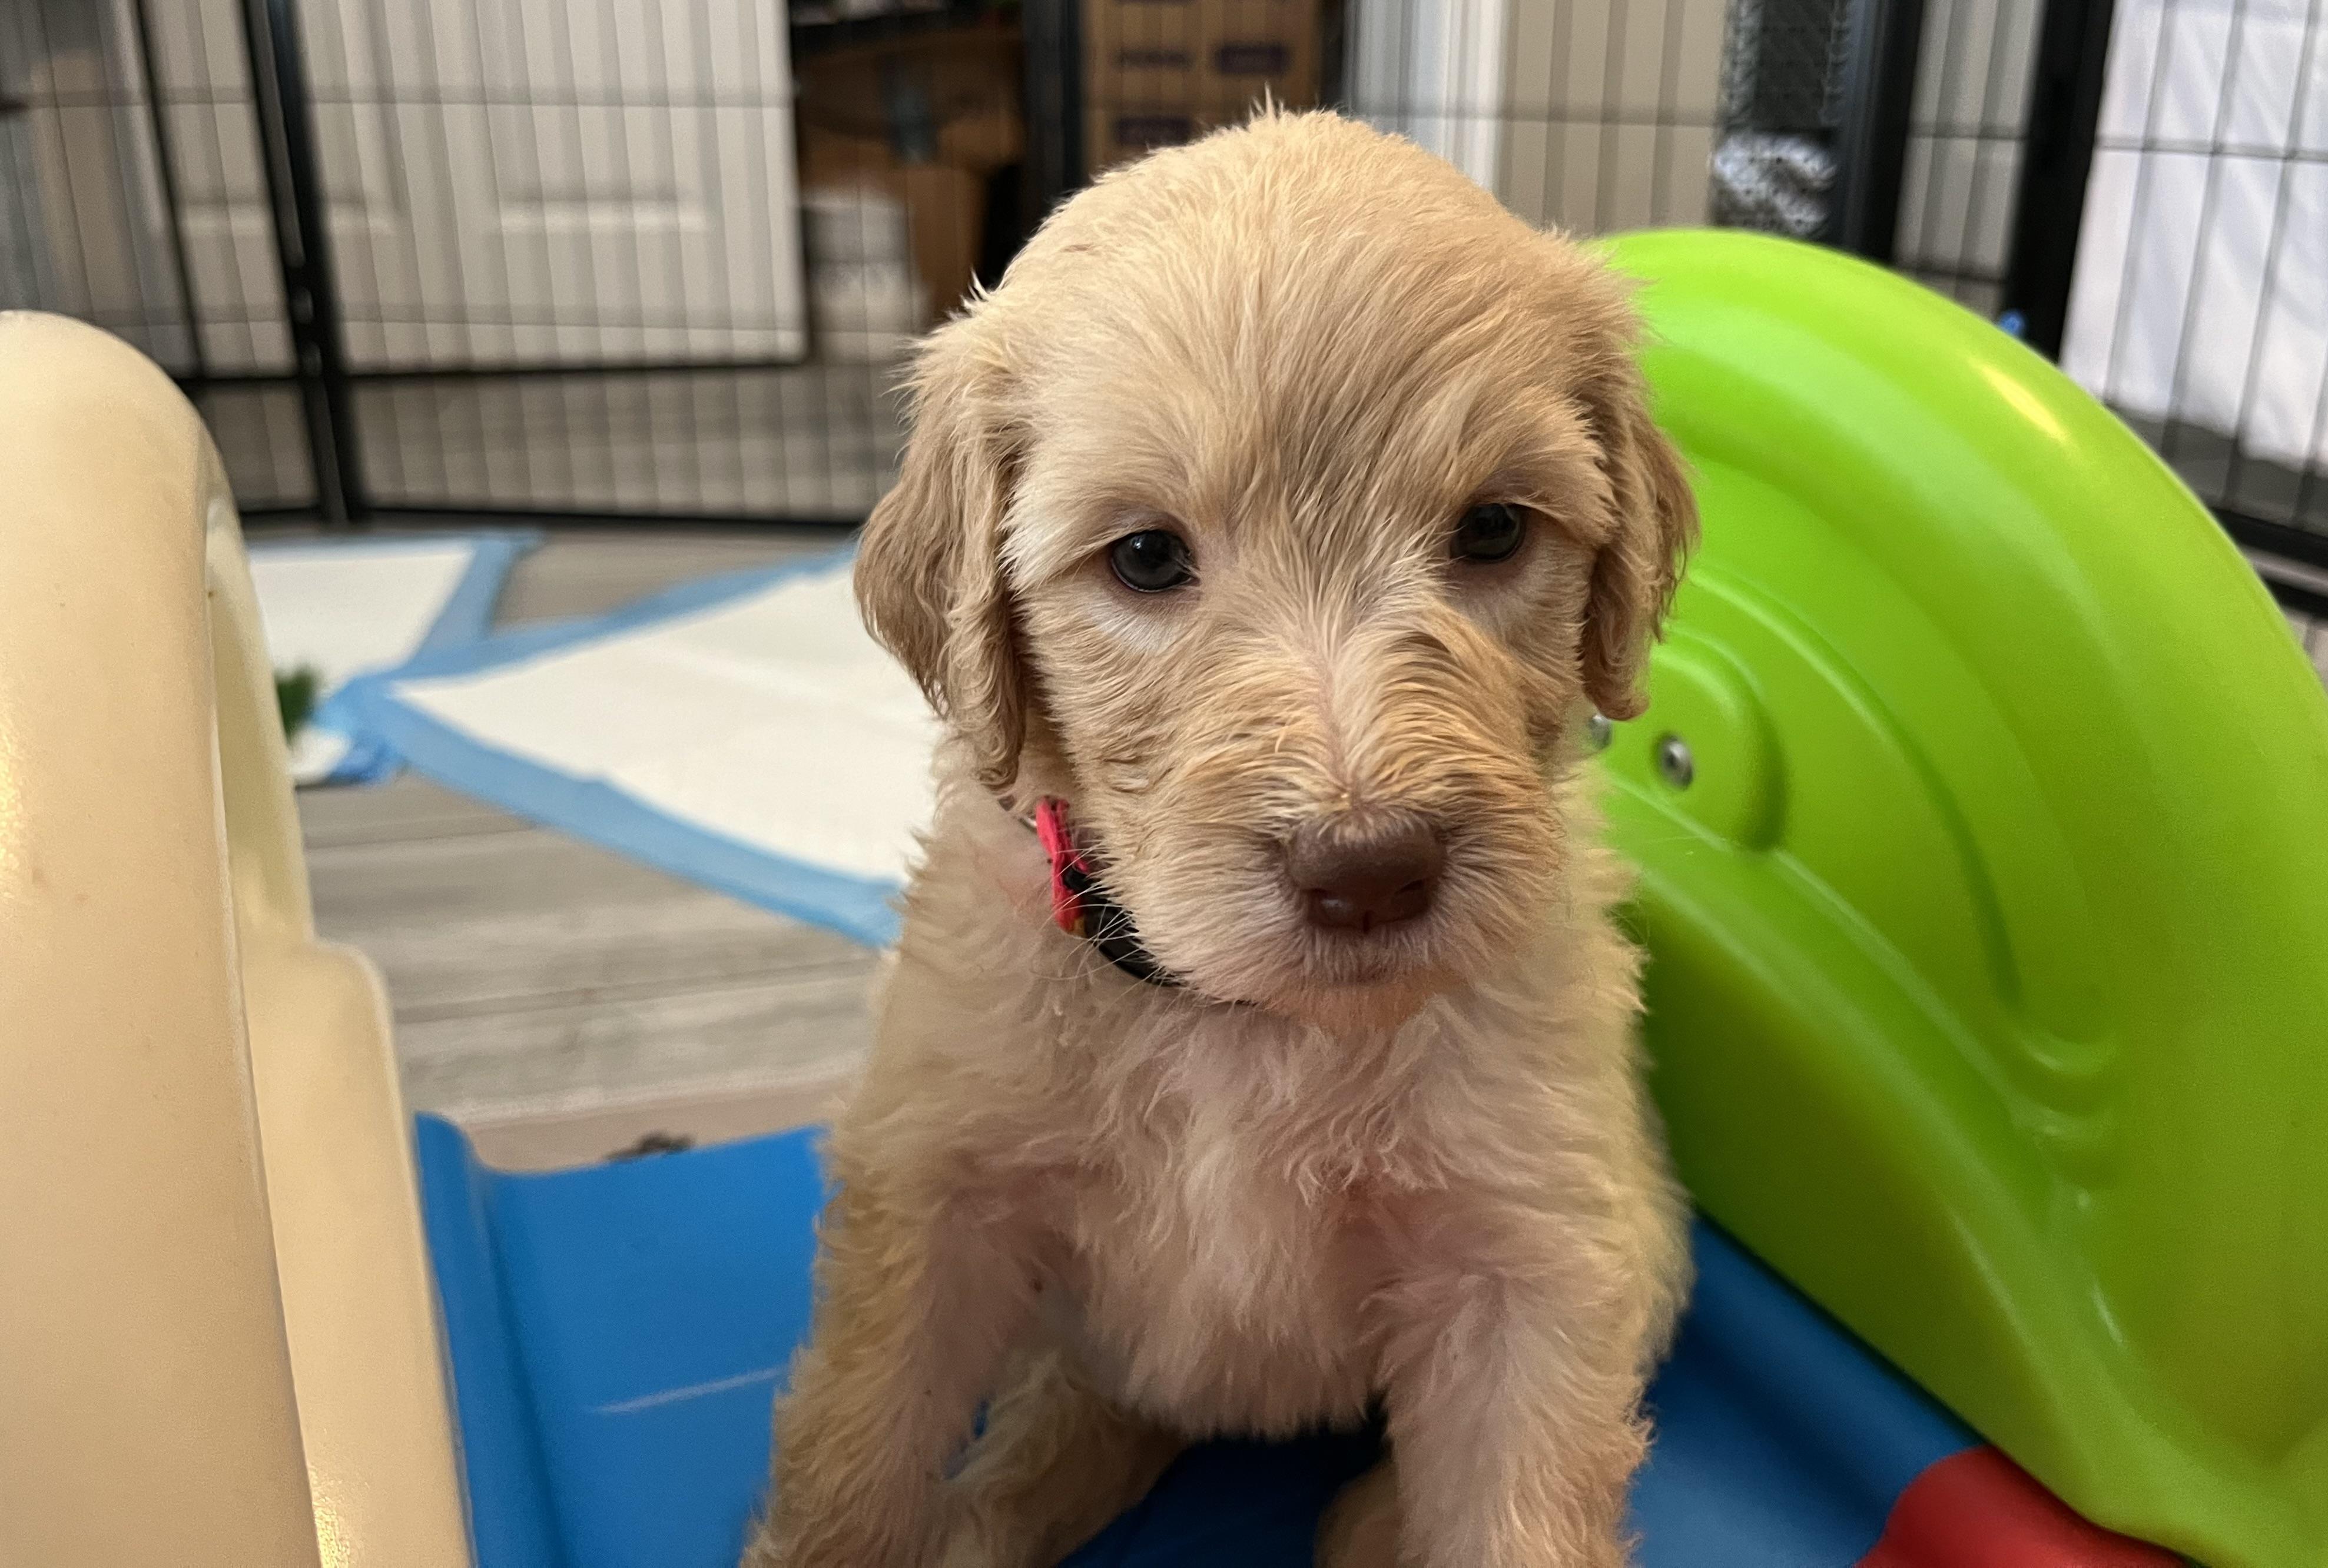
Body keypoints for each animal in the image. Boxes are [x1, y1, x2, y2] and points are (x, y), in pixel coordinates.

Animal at [745, 109, 1698, 1568]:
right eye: (1145, 558)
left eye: (1492, 528)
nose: (1370, 869)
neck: (1243, 1025)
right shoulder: (933, 1189)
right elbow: (857, 1451)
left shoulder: (1532, 1260)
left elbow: (1518, 1510)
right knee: (1088, 1407)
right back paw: (1003, 1502)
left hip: (1649, 1250)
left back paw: (1364, 1524)